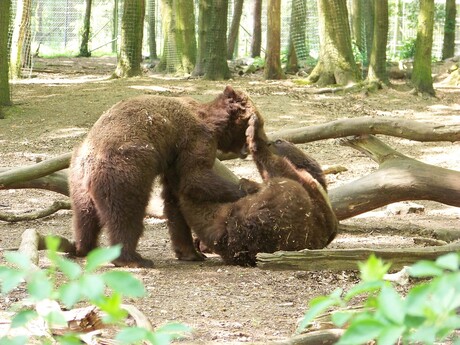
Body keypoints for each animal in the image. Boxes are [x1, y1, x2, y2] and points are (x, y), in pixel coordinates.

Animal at [69, 85, 266, 266]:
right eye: (259, 124)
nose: (263, 142)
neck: (214, 123)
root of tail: (88, 163)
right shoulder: (195, 140)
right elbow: (196, 178)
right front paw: (251, 188)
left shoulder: (173, 160)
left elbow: (175, 200)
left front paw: (190, 253)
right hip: (125, 170)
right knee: (126, 214)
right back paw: (132, 258)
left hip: (78, 181)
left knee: (85, 216)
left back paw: (85, 247)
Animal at [176, 115, 338, 266]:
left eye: (280, 142)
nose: (274, 140)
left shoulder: (305, 184)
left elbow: (277, 165)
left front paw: (254, 134)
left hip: (282, 212)